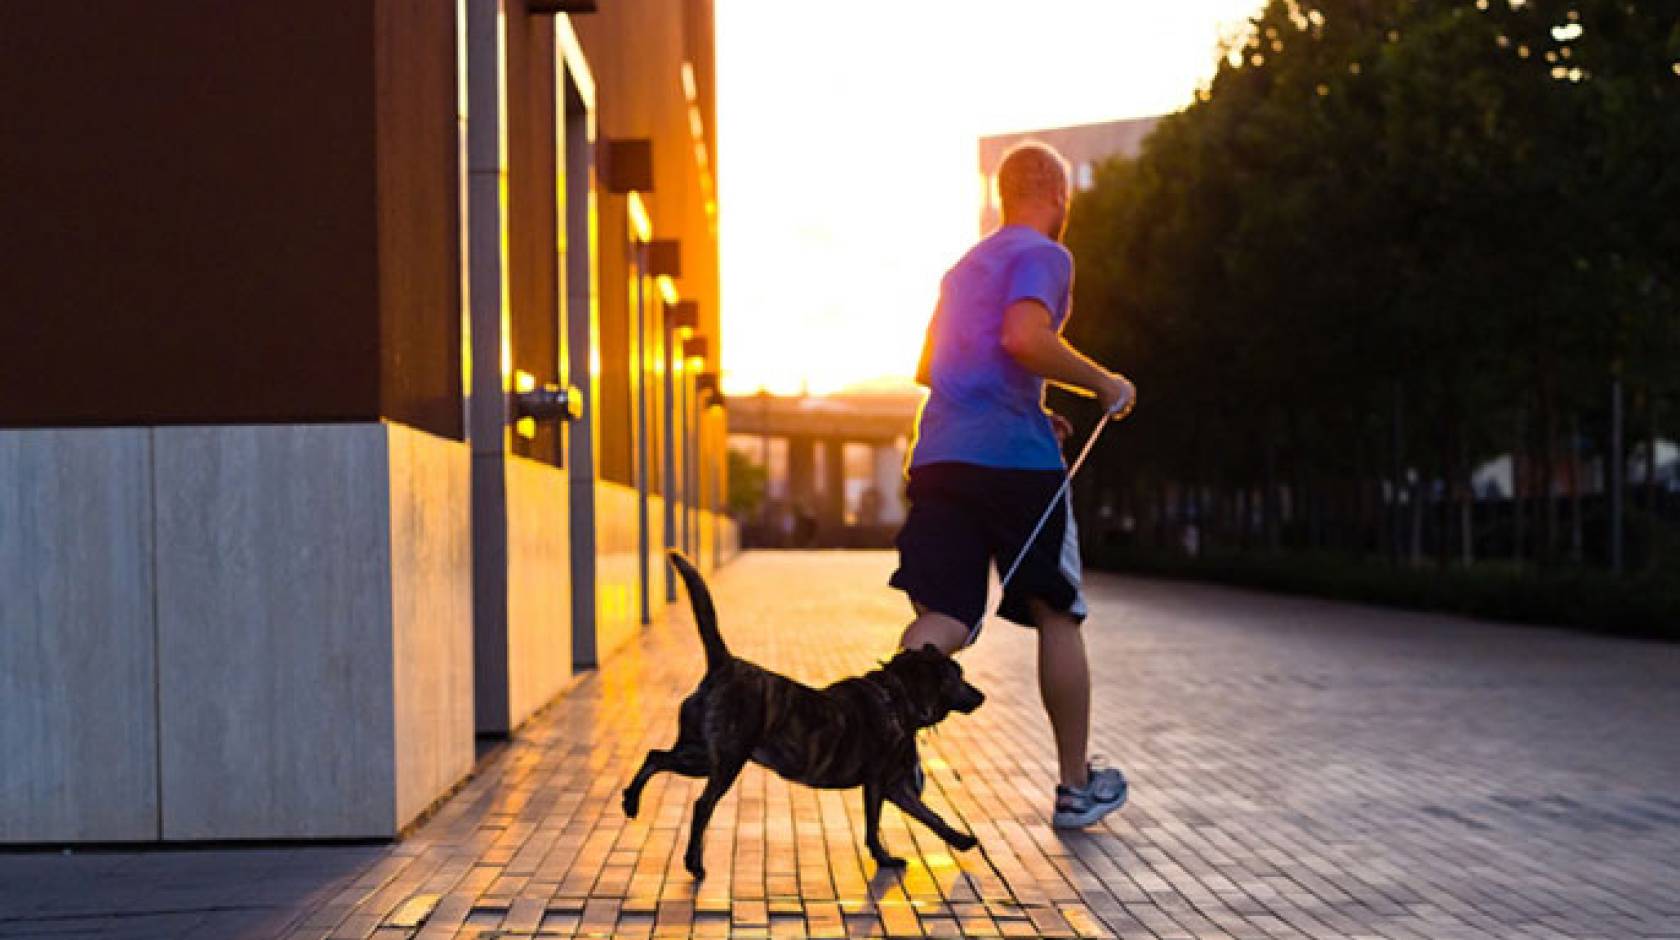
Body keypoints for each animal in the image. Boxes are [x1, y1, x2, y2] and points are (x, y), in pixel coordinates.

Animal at [624, 553, 981, 879]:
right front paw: (884, 858)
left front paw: (961, 839)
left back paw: (630, 802)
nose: (982, 695)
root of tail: (724, 664)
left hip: (698, 754)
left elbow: (932, 816)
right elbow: (873, 826)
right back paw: (694, 863)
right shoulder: (878, 782)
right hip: (726, 761)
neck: (894, 698)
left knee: (655, 756)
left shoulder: (898, 787)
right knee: (701, 804)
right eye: (958, 675)